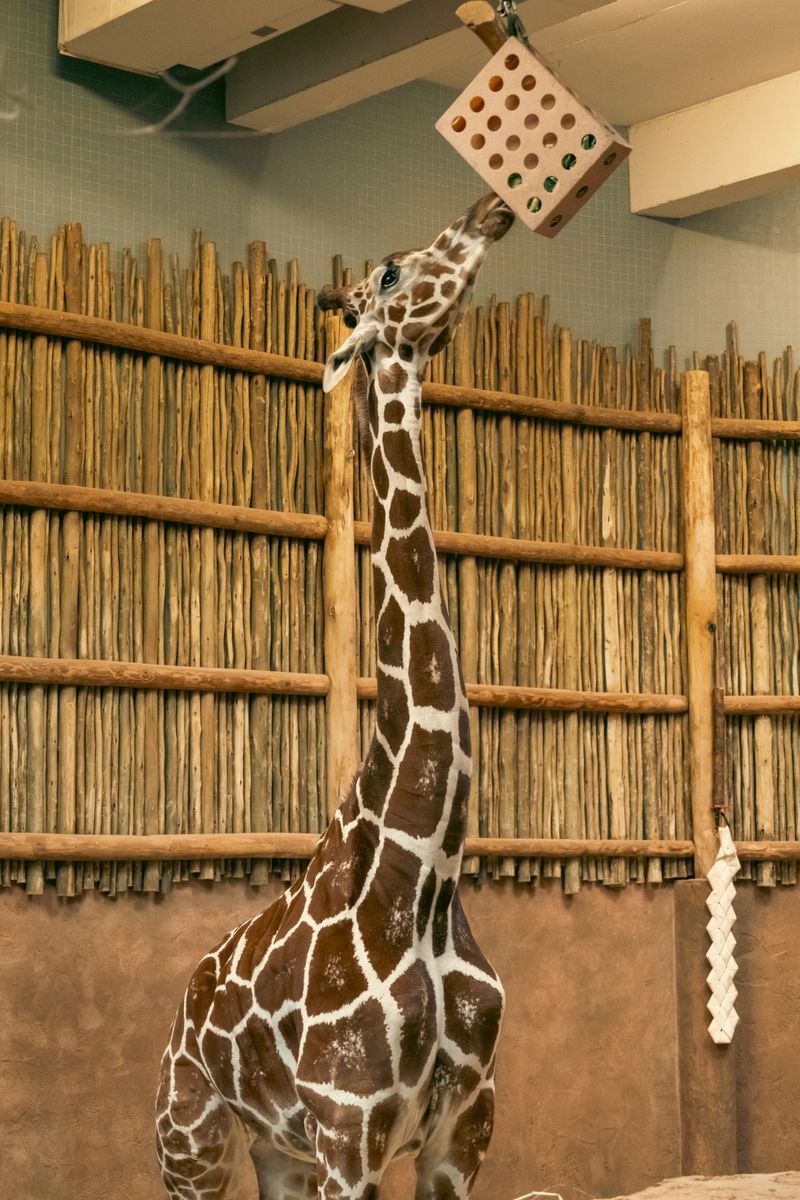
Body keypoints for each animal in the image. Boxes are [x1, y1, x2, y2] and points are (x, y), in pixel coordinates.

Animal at [155, 192, 515, 1200]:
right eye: (388, 273)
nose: (492, 209)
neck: (424, 873)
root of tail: (183, 1001)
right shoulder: (349, 1128)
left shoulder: (464, 1125)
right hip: (191, 1142)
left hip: (277, 1151)